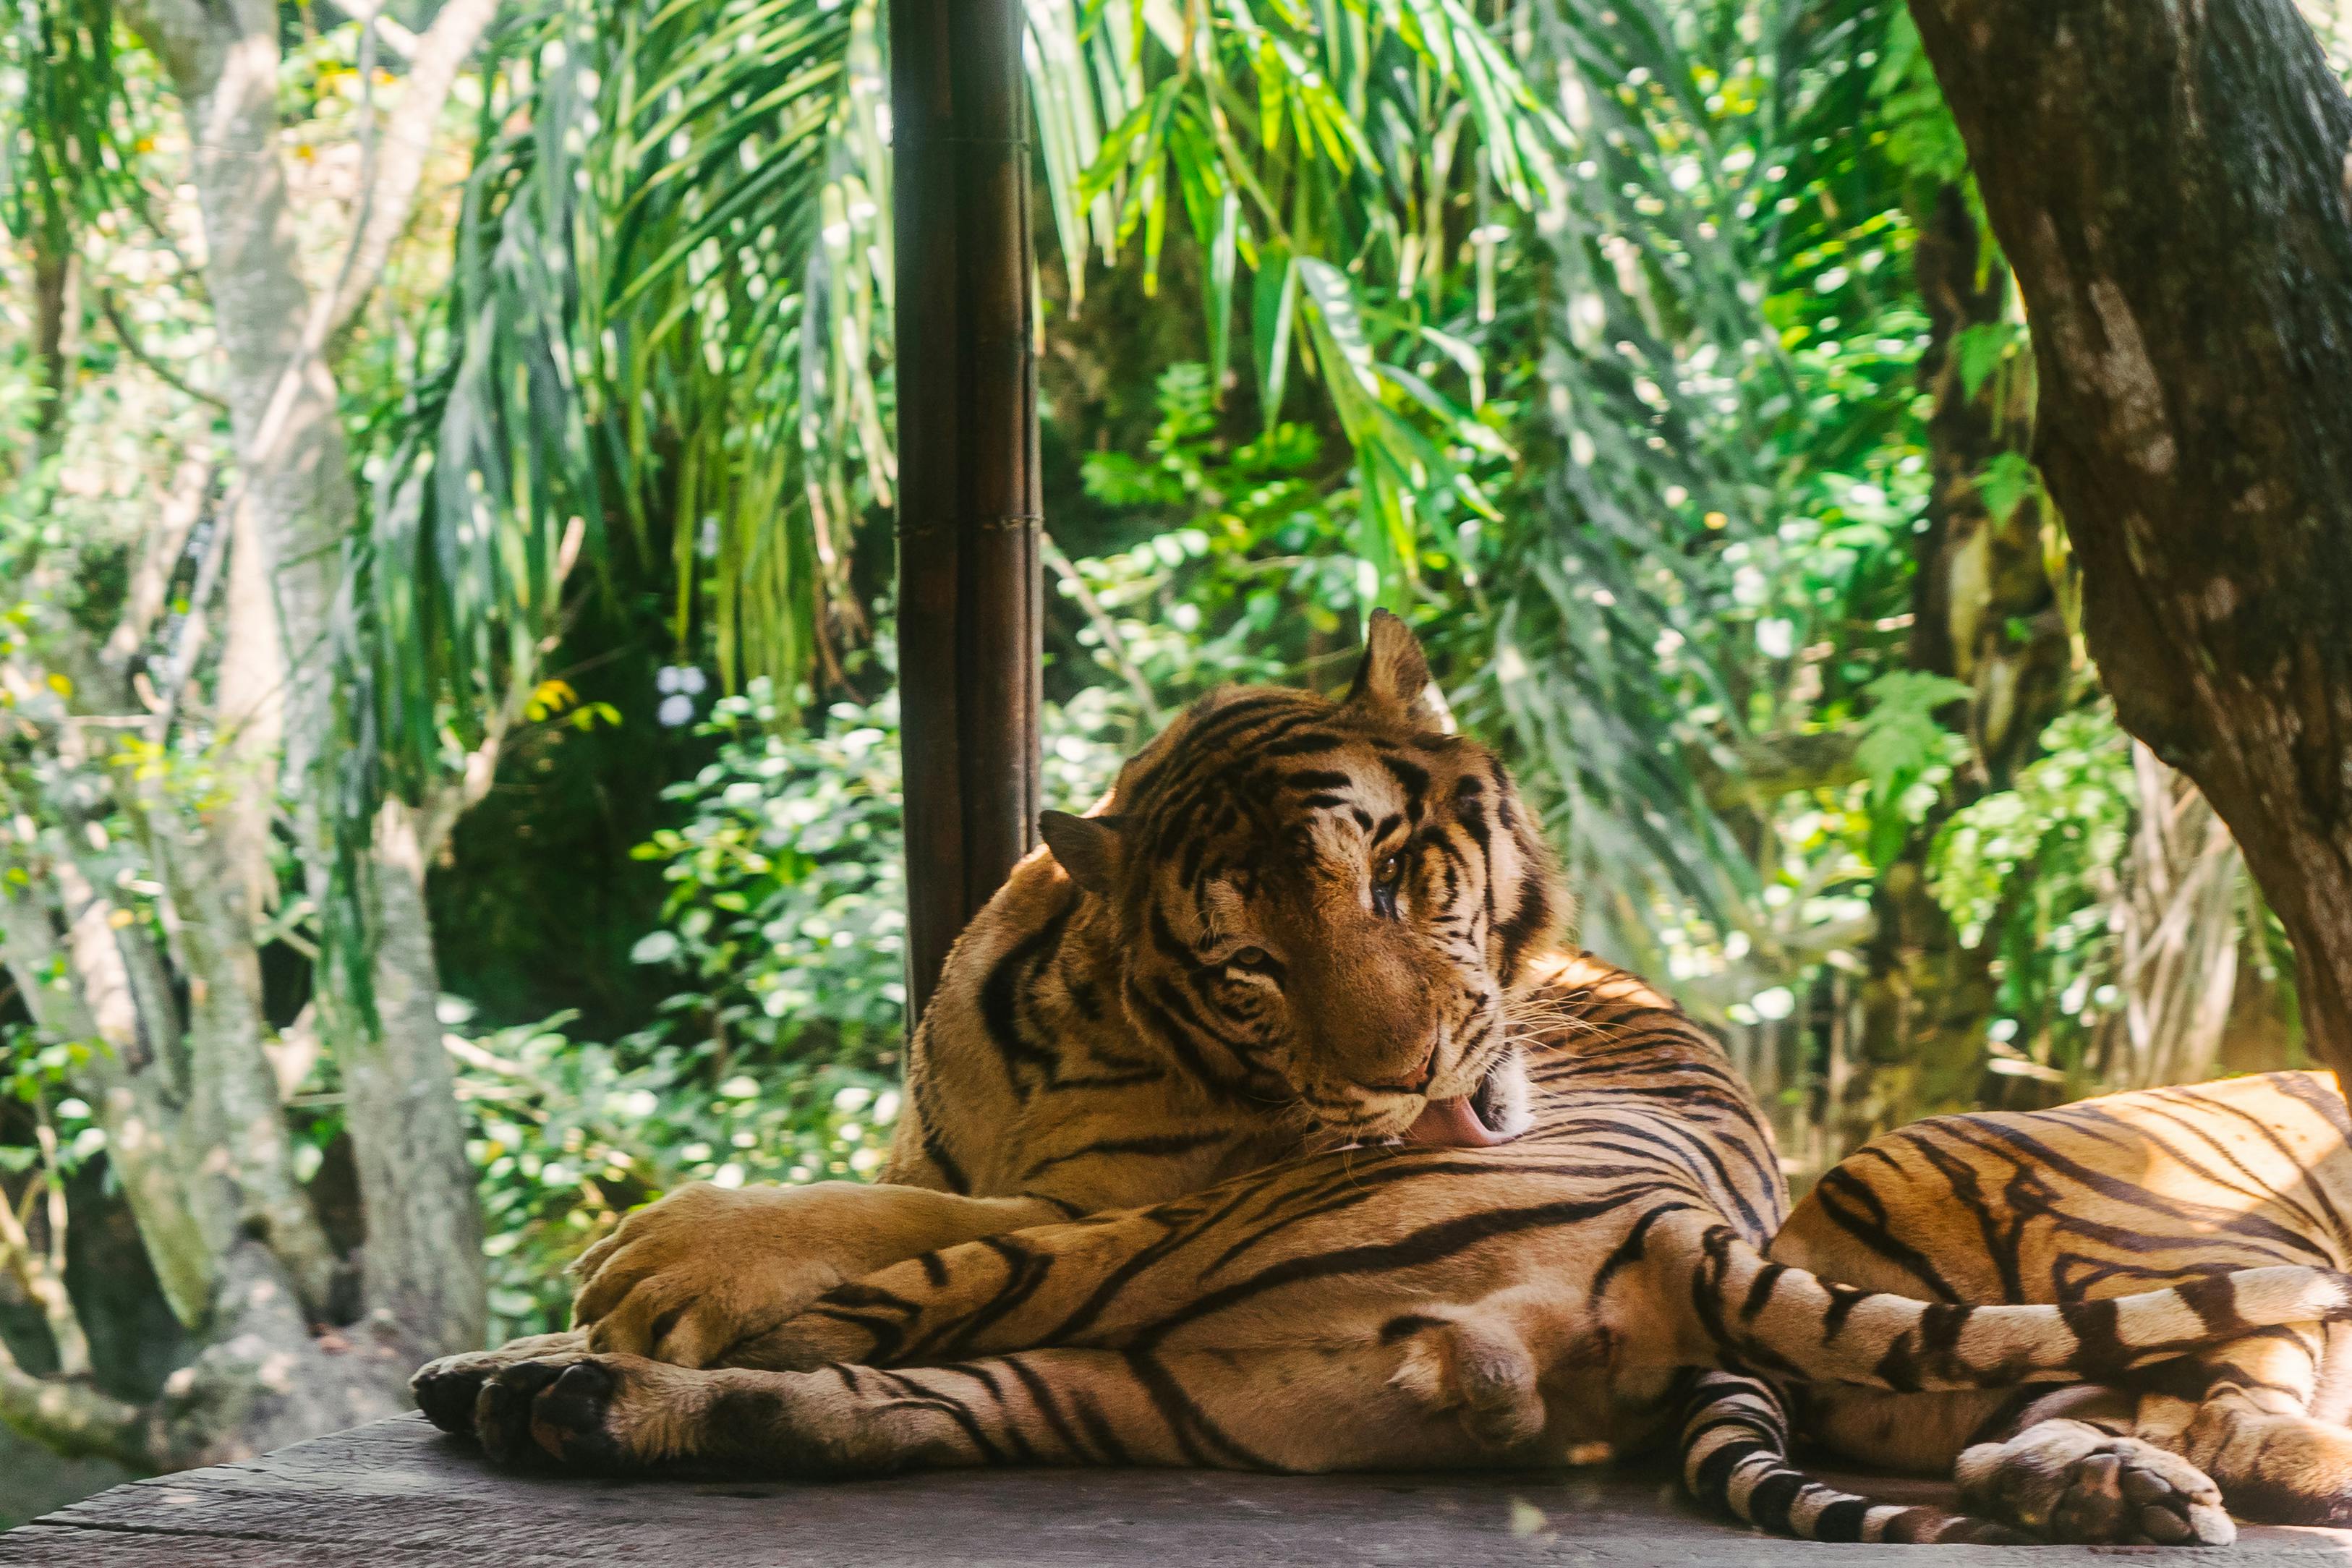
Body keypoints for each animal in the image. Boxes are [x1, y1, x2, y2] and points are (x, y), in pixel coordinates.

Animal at [411, 613, 2352, 1545]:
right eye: (1252, 962)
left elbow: (889, 1204)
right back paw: (541, 1396)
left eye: (1402, 877)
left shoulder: (1148, 1183)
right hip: (1131, 1381)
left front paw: (665, 1255)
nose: (1411, 1084)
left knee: (938, 1297)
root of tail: (1679, 1240)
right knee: (869, 1392)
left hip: (1164, 1276)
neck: (1079, 1023)